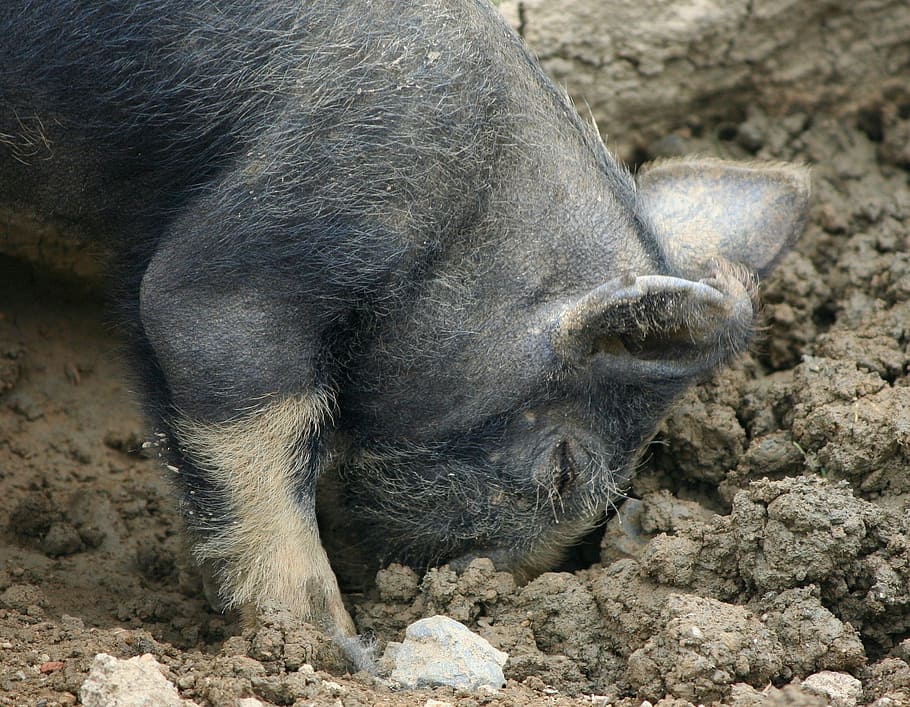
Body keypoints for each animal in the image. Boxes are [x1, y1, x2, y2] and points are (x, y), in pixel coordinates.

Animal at [0, 0, 810, 642]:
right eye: (565, 466)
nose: (481, 586)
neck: (469, 220)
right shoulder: (268, 244)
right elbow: (234, 384)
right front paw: (337, 646)